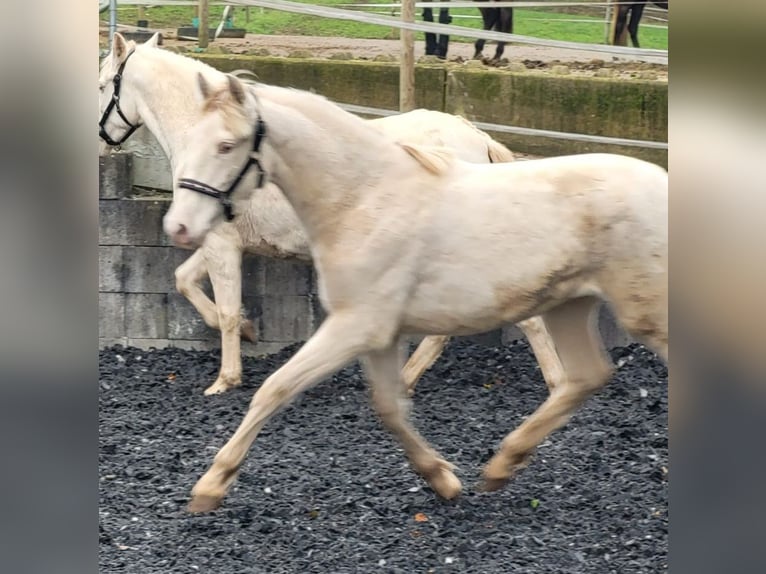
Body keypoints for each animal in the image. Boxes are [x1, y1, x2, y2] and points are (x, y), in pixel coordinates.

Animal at [99, 33, 568, 398]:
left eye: (104, 84)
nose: (103, 135)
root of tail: (477, 138)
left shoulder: (221, 243)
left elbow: (226, 309)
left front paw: (225, 380)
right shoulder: (224, 242)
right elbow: (185, 281)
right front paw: (249, 332)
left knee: (521, 321)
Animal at [165, 71, 668, 512]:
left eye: (226, 145)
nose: (179, 228)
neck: (363, 200)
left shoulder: (355, 326)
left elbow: (274, 388)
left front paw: (210, 486)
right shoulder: (379, 334)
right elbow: (389, 408)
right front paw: (443, 479)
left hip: (645, 312)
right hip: (570, 305)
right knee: (586, 376)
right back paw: (502, 465)